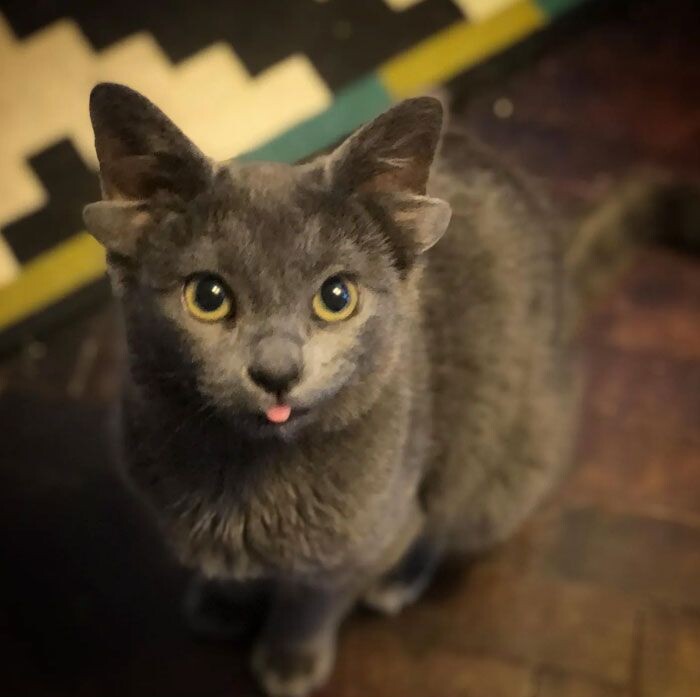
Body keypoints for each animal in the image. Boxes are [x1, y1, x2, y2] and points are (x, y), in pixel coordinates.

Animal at [83, 82, 694, 697]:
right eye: (207, 296)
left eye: (336, 297)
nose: (277, 371)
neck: (246, 481)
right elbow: (227, 569)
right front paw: (222, 601)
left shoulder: (362, 544)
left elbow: (314, 601)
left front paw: (290, 660)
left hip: (495, 464)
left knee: (441, 519)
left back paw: (398, 582)